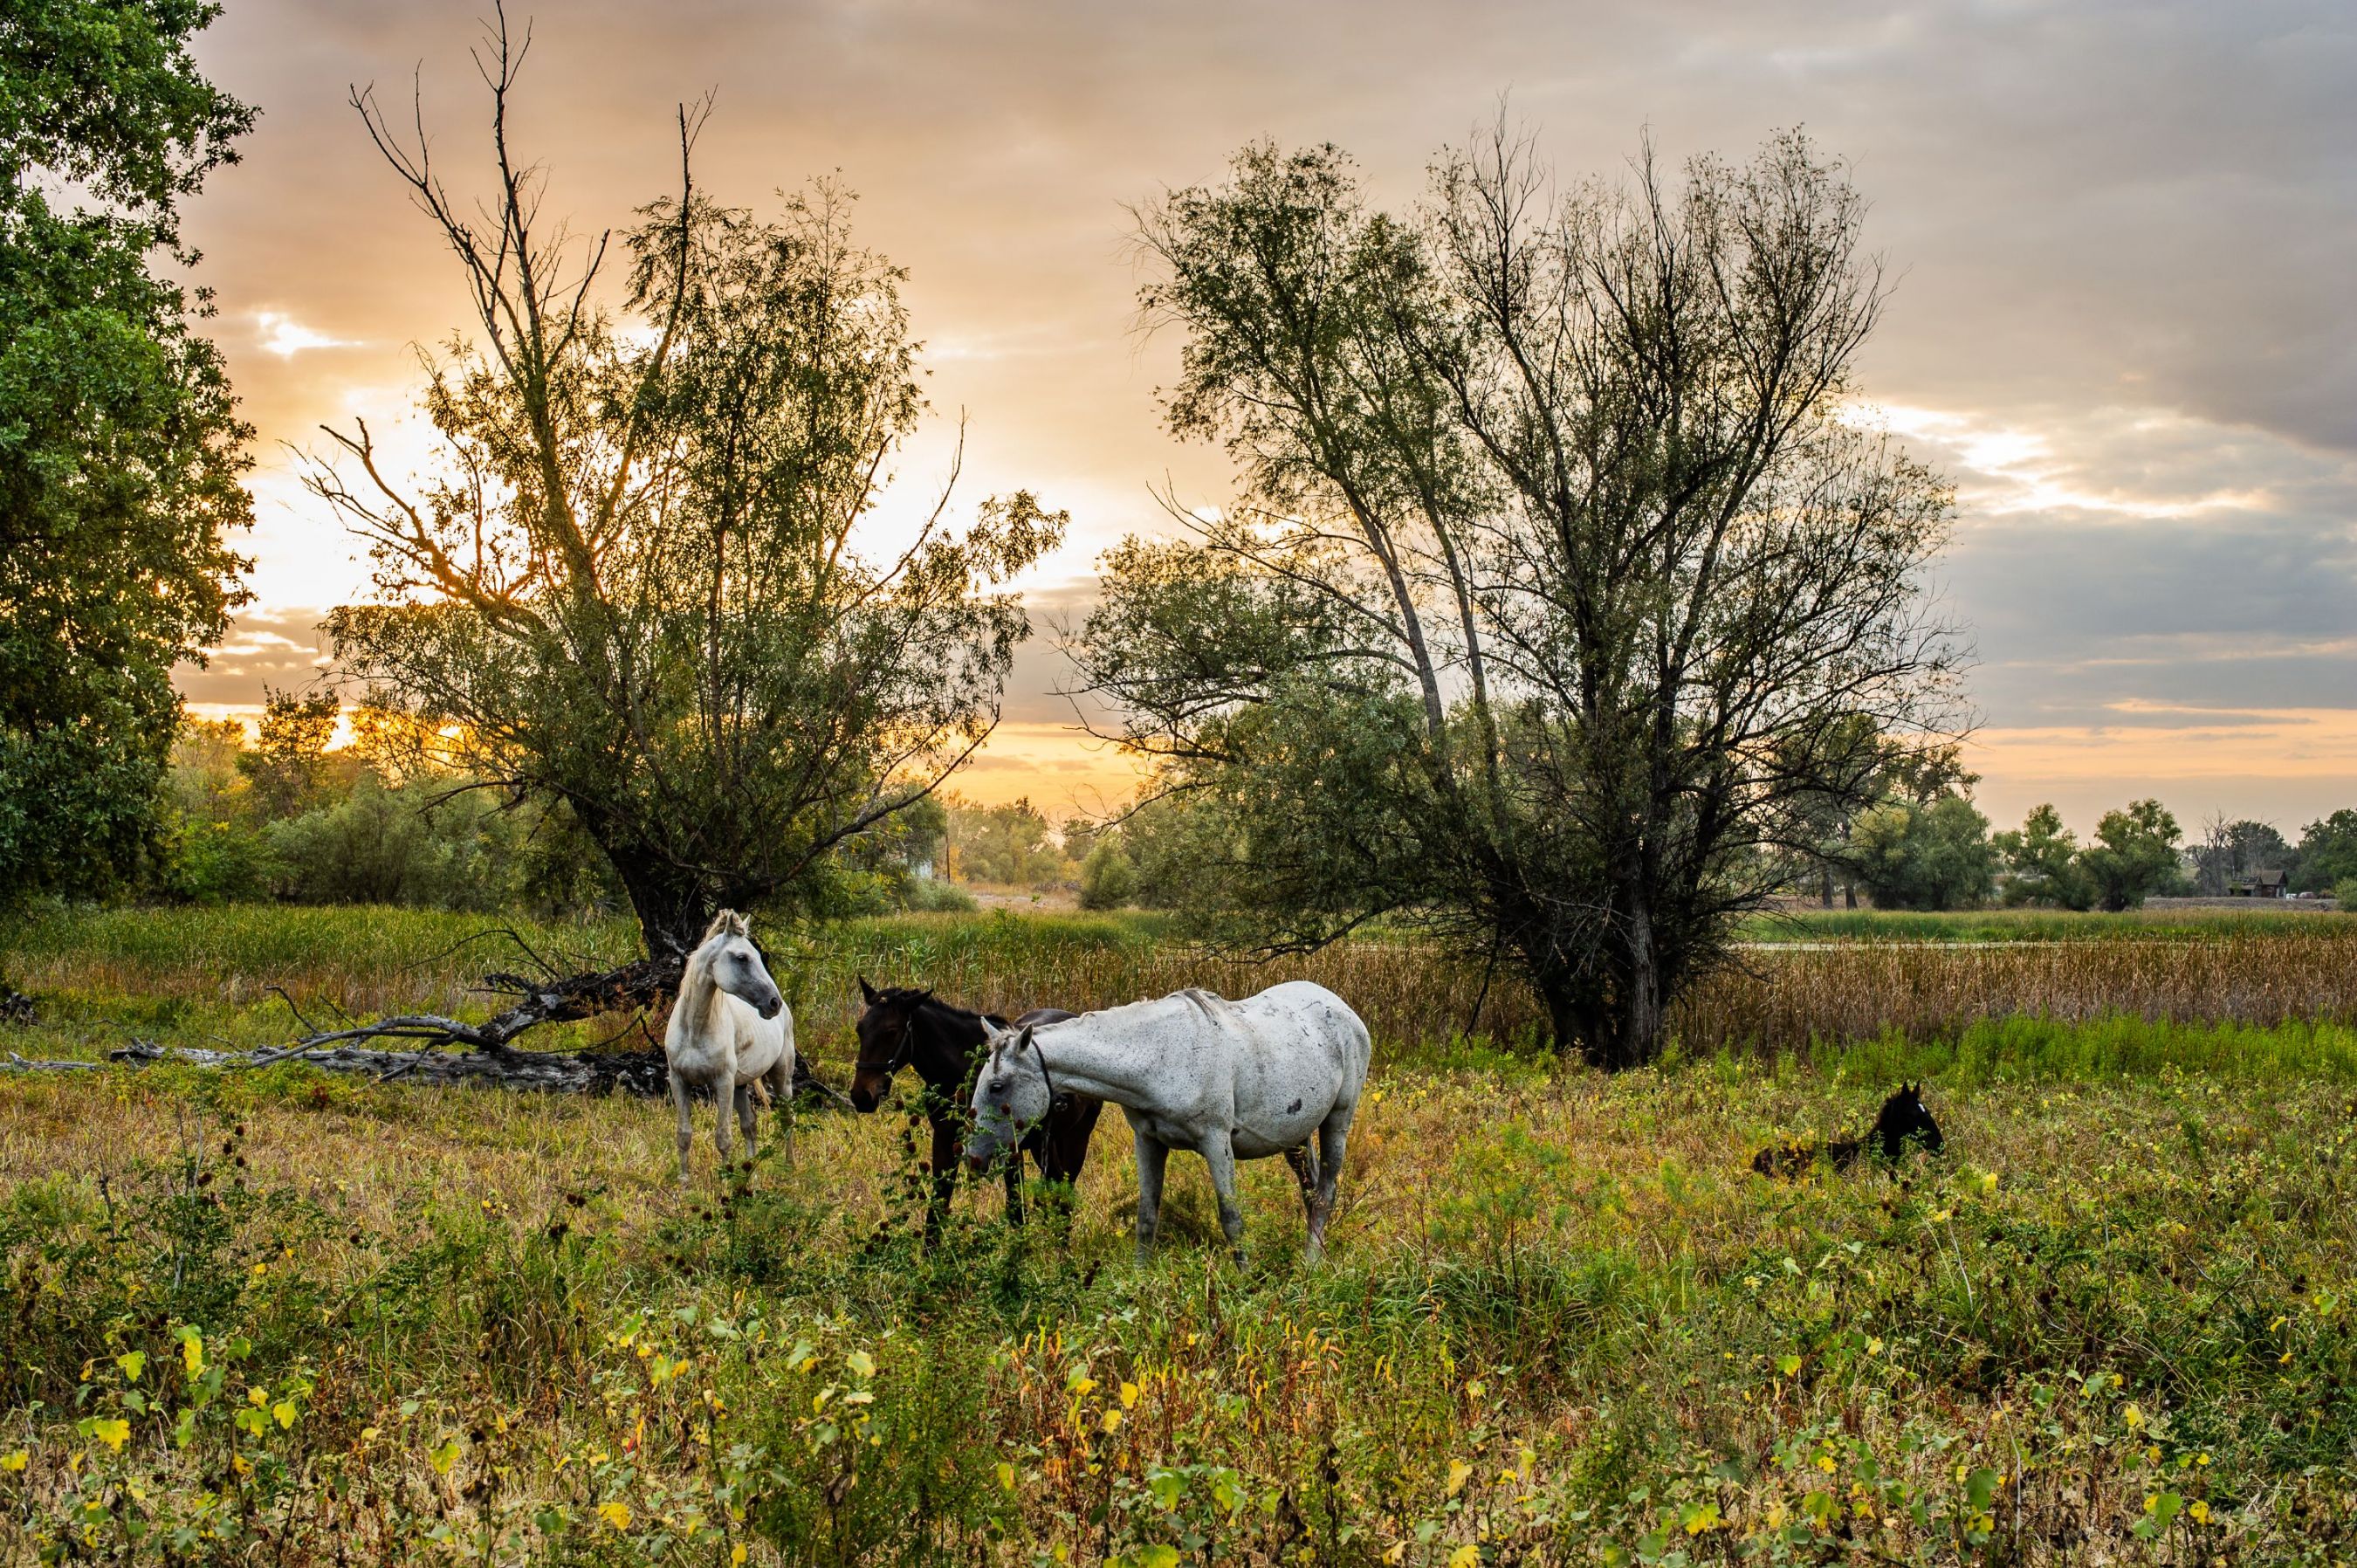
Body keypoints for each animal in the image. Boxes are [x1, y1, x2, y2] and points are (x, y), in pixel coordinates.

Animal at [664, 910, 792, 1179]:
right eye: (742, 958)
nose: (773, 1002)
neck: (694, 1031)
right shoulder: (679, 1081)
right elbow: (683, 1135)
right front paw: (684, 1180)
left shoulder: (722, 1082)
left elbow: (723, 1137)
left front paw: (724, 1180)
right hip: (741, 1085)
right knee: (750, 1125)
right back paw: (752, 1175)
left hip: (781, 1076)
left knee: (788, 1119)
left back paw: (790, 1168)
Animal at [849, 971, 1103, 1244]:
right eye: (860, 1029)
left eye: (891, 1031)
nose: (861, 1096)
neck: (965, 1073)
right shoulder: (945, 1139)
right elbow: (938, 1205)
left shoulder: (1010, 1149)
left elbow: (1016, 1211)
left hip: (1076, 1138)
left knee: (1065, 1193)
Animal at [961, 985, 1376, 1263]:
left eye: (997, 1086)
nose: (973, 1158)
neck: (1161, 1055)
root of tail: (1344, 1010)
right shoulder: (1148, 1141)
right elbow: (1147, 1219)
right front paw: (1138, 1281)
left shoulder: (1217, 1143)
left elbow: (1232, 1220)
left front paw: (1246, 1285)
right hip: (1295, 1134)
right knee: (1310, 1190)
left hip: (1337, 1122)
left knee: (1325, 1194)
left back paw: (1312, 1264)